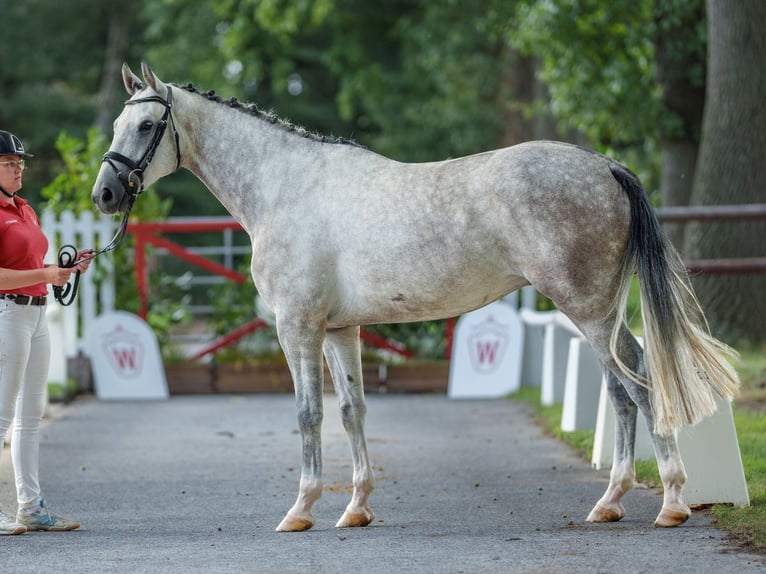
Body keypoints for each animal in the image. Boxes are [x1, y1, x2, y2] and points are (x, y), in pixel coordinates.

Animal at [91, 63, 744, 536]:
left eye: (146, 128)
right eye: (120, 126)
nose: (104, 194)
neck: (284, 188)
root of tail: (605, 166)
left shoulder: (297, 327)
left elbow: (309, 415)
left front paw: (300, 510)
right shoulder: (340, 331)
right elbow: (352, 411)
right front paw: (355, 508)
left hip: (587, 310)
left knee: (639, 381)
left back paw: (672, 502)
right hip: (598, 315)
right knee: (623, 388)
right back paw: (610, 502)